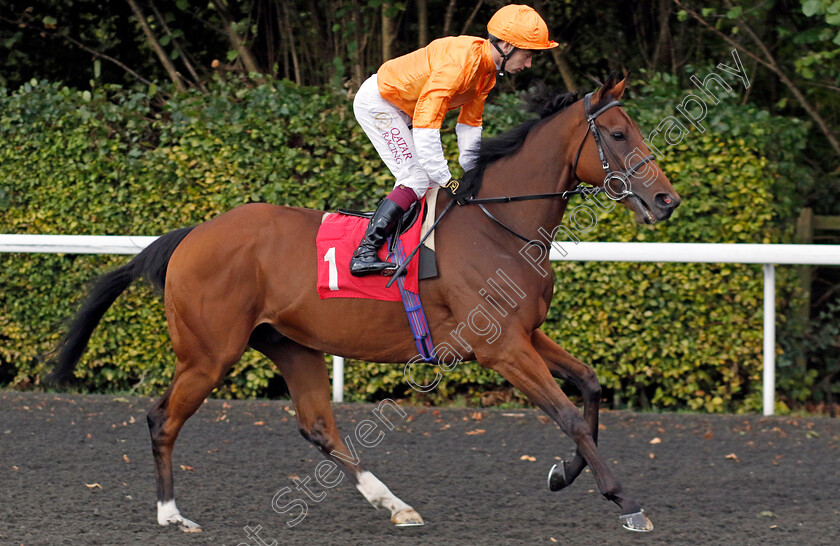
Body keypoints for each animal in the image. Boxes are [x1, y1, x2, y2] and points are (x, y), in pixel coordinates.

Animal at [49, 75, 680, 532]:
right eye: (618, 135)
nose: (665, 200)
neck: (499, 227)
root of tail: (191, 235)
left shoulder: (525, 334)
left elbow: (591, 385)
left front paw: (562, 474)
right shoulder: (501, 348)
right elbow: (569, 414)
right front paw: (625, 501)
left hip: (291, 344)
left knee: (318, 427)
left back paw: (395, 505)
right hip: (208, 355)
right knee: (162, 419)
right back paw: (172, 515)